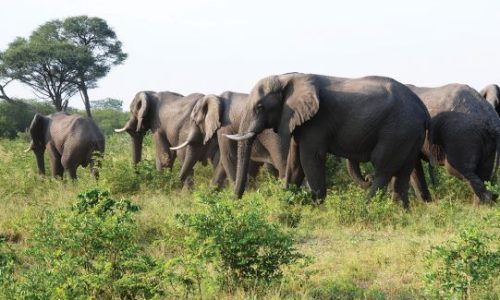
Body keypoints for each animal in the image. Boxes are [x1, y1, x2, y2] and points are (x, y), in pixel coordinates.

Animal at [227, 72, 430, 209]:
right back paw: (400, 211)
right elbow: (294, 163)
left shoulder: (317, 121)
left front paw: (316, 208)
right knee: (403, 172)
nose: (235, 202)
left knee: (384, 168)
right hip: (412, 134)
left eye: (260, 107)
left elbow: (310, 158)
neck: (287, 78)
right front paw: (287, 203)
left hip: (398, 129)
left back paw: (365, 207)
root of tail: (423, 109)